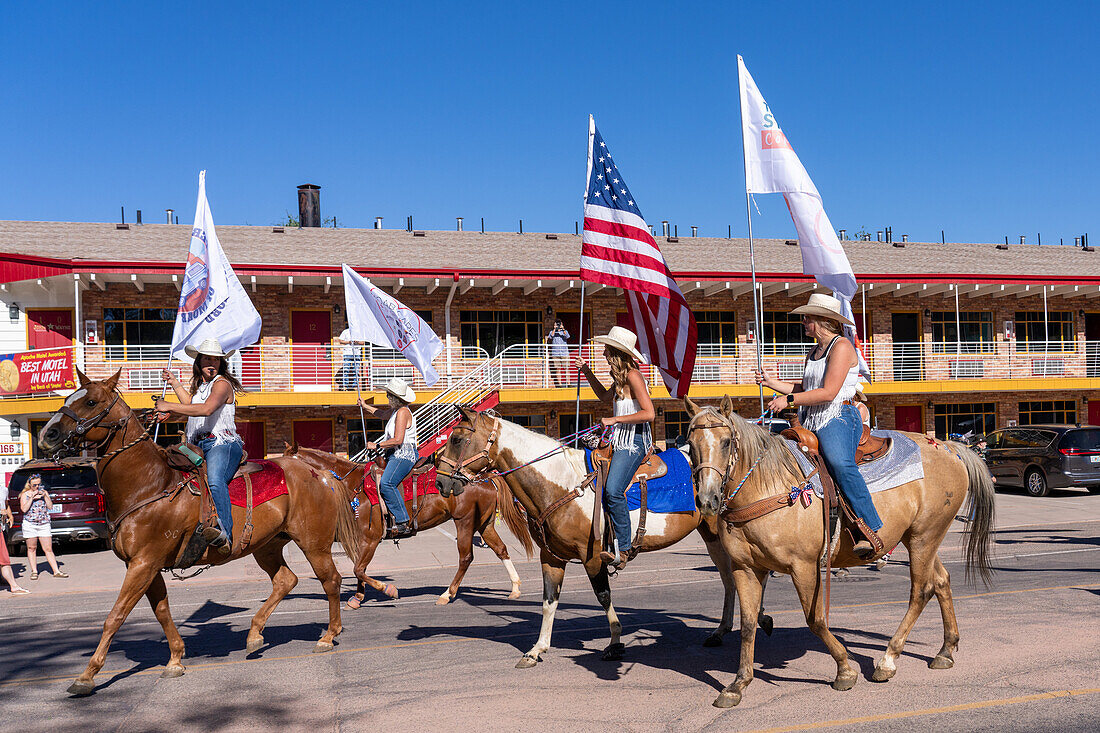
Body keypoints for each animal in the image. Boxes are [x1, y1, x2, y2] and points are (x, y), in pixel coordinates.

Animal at [34, 367, 358, 695]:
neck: (149, 483)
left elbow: (116, 616)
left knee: (330, 581)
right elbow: (162, 611)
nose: (47, 435)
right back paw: (254, 634)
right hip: (267, 546)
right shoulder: (145, 565)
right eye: (68, 398)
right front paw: (176, 659)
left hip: (313, 543)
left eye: (91, 401)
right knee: (285, 580)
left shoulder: (143, 563)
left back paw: (328, 636)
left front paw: (87, 675)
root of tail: (320, 473)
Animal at [277, 442, 530, 603]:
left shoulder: (371, 538)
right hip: (485, 523)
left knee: (466, 558)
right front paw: (358, 597)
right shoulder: (362, 540)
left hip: (465, 521)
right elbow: (359, 569)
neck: (351, 485)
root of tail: (485, 477)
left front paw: (387, 589)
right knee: (501, 549)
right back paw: (515, 588)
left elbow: (359, 569)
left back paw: (447, 594)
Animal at [433, 405, 770, 669]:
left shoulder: (592, 555)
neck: (561, 483)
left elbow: (603, 596)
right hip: (710, 534)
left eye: (457, 439)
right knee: (729, 578)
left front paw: (615, 642)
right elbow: (549, 602)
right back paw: (725, 629)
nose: (440, 482)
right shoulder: (551, 557)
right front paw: (537, 649)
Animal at [686, 396, 998, 704]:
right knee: (942, 581)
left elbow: (815, 620)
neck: (768, 487)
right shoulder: (745, 568)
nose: (707, 500)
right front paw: (737, 685)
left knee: (921, 591)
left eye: (726, 441)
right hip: (920, 538)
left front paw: (845, 670)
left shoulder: (804, 566)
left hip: (924, 537)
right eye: (690, 442)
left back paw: (887, 660)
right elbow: (749, 625)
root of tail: (948, 447)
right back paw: (945, 650)